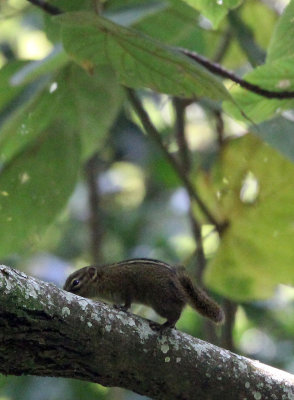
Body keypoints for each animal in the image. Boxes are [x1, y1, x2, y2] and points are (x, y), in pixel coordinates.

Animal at [63, 258, 224, 330]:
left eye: (75, 283)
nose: (65, 291)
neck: (104, 278)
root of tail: (183, 291)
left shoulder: (126, 285)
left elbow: (128, 301)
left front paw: (123, 308)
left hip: (160, 301)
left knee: (176, 314)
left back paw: (164, 326)